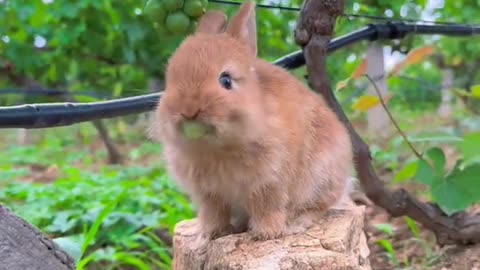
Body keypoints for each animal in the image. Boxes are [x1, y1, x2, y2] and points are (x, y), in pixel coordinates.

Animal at [152, 0, 354, 240]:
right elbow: (214, 213)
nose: (188, 110)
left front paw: (266, 234)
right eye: (170, 81)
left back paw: (295, 223)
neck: (216, 147)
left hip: (320, 179)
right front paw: (212, 234)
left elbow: (267, 206)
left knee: (317, 207)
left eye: (226, 80)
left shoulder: (269, 181)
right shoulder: (209, 194)